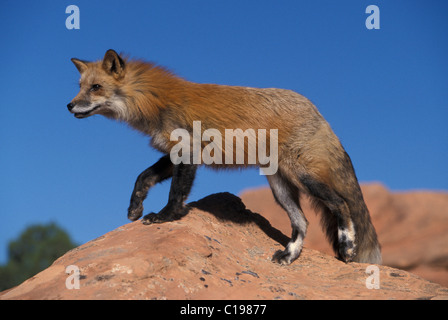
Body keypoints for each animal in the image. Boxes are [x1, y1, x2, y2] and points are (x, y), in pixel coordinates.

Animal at [67, 49, 382, 264]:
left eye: (96, 88)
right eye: (81, 87)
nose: (68, 106)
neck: (154, 100)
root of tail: (317, 110)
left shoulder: (188, 152)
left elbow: (175, 193)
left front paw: (165, 217)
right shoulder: (173, 153)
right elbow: (142, 177)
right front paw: (135, 207)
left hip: (302, 176)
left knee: (341, 204)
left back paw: (347, 246)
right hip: (279, 187)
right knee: (302, 223)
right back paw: (289, 256)